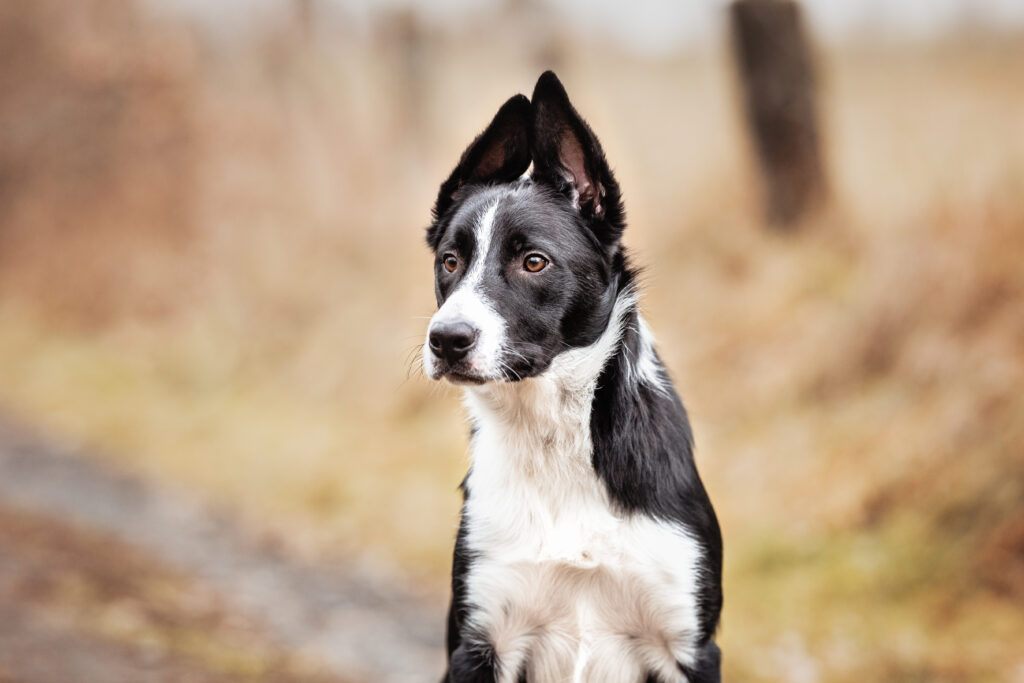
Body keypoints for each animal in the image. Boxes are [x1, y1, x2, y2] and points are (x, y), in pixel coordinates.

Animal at [419, 72, 724, 679]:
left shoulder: (690, 648)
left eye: (534, 261)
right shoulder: (479, 641)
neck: (554, 439)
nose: (446, 340)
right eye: (449, 261)